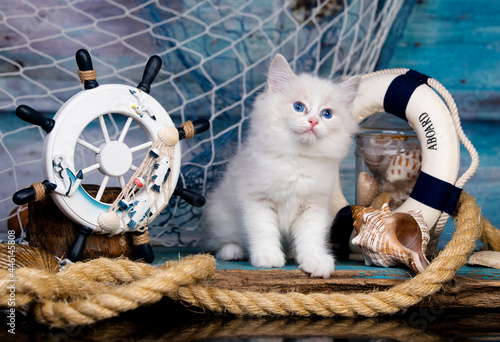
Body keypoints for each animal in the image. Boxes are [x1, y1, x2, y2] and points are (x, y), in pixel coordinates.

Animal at [200, 54, 360, 278]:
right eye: (299, 107)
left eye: (327, 114)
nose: (313, 121)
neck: (297, 159)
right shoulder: (257, 200)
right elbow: (264, 230)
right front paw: (268, 257)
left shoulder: (314, 206)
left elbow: (311, 237)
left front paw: (315, 261)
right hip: (219, 215)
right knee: (222, 240)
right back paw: (233, 251)